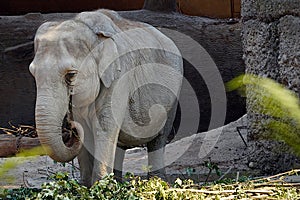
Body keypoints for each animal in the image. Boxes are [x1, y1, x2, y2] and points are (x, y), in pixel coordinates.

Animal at [29, 9, 182, 187]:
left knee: (158, 139)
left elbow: (104, 125)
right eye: (33, 73)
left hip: (173, 94)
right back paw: (118, 183)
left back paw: (158, 183)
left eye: (71, 75)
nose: (70, 131)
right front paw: (85, 187)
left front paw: (100, 187)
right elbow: (86, 127)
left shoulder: (120, 75)